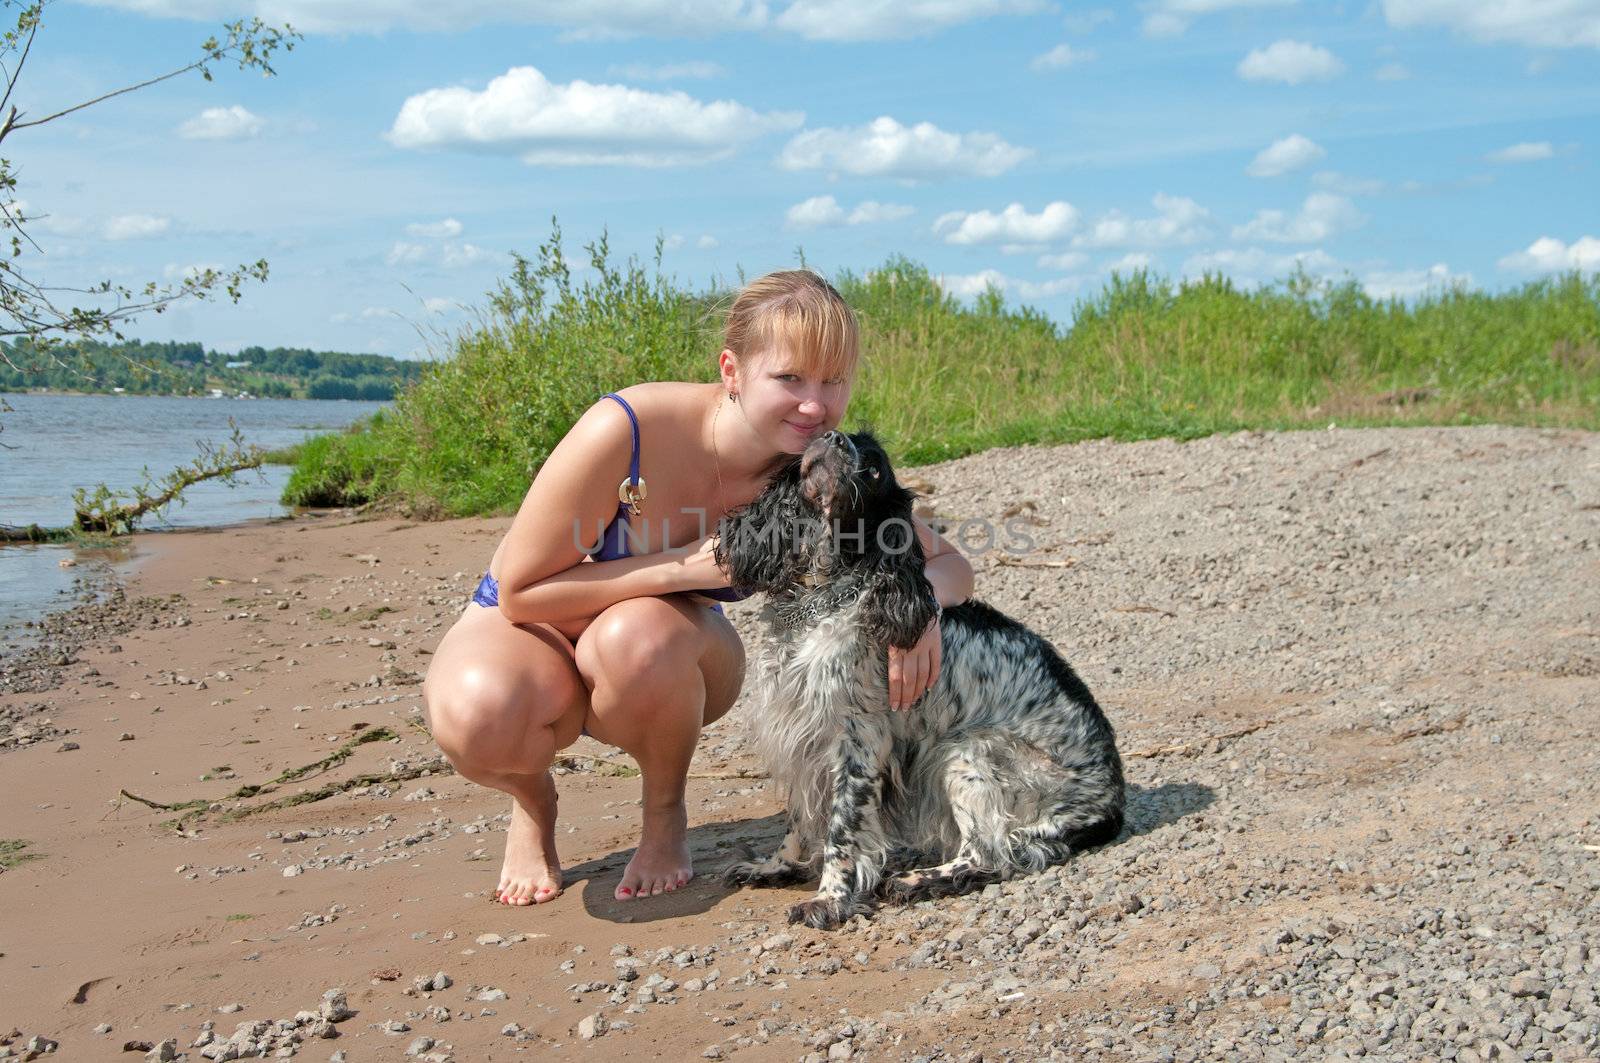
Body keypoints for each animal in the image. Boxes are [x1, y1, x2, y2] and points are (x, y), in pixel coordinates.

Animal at [713, 429, 1126, 928]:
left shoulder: (857, 741)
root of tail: (1109, 804)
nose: (832, 438)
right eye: (838, 435)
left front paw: (829, 899)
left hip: (967, 752)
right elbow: (797, 817)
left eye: (873, 470)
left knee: (991, 854)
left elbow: (841, 828)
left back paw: (918, 881)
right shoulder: (801, 732)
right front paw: (776, 866)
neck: (824, 596)